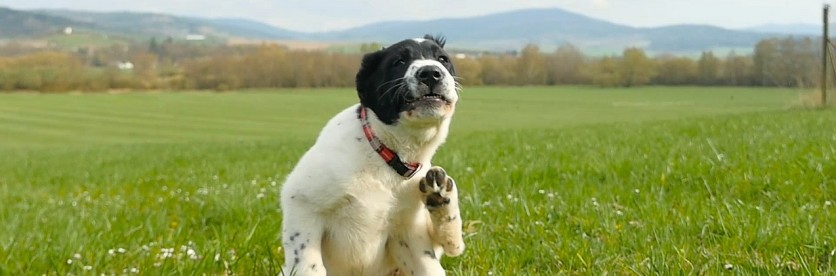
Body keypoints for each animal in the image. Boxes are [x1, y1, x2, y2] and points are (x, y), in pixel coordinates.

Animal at [280, 35, 464, 276]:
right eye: (399, 61)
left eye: (442, 59)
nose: (431, 72)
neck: (386, 156)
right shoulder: (301, 202)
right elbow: (308, 262)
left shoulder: (408, 232)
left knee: (452, 246)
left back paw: (441, 195)